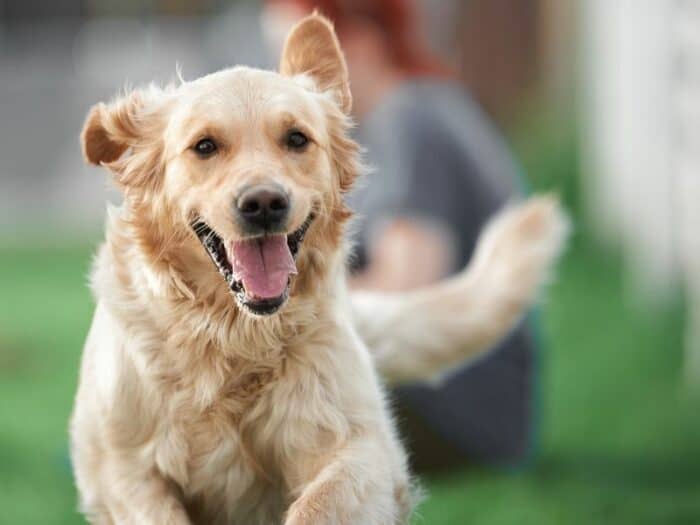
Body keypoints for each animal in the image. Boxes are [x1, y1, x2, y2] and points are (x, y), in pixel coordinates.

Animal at [68, 12, 568, 524]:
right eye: (204, 146)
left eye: (296, 139)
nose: (264, 204)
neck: (232, 337)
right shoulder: (124, 473)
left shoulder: (361, 449)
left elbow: (317, 506)